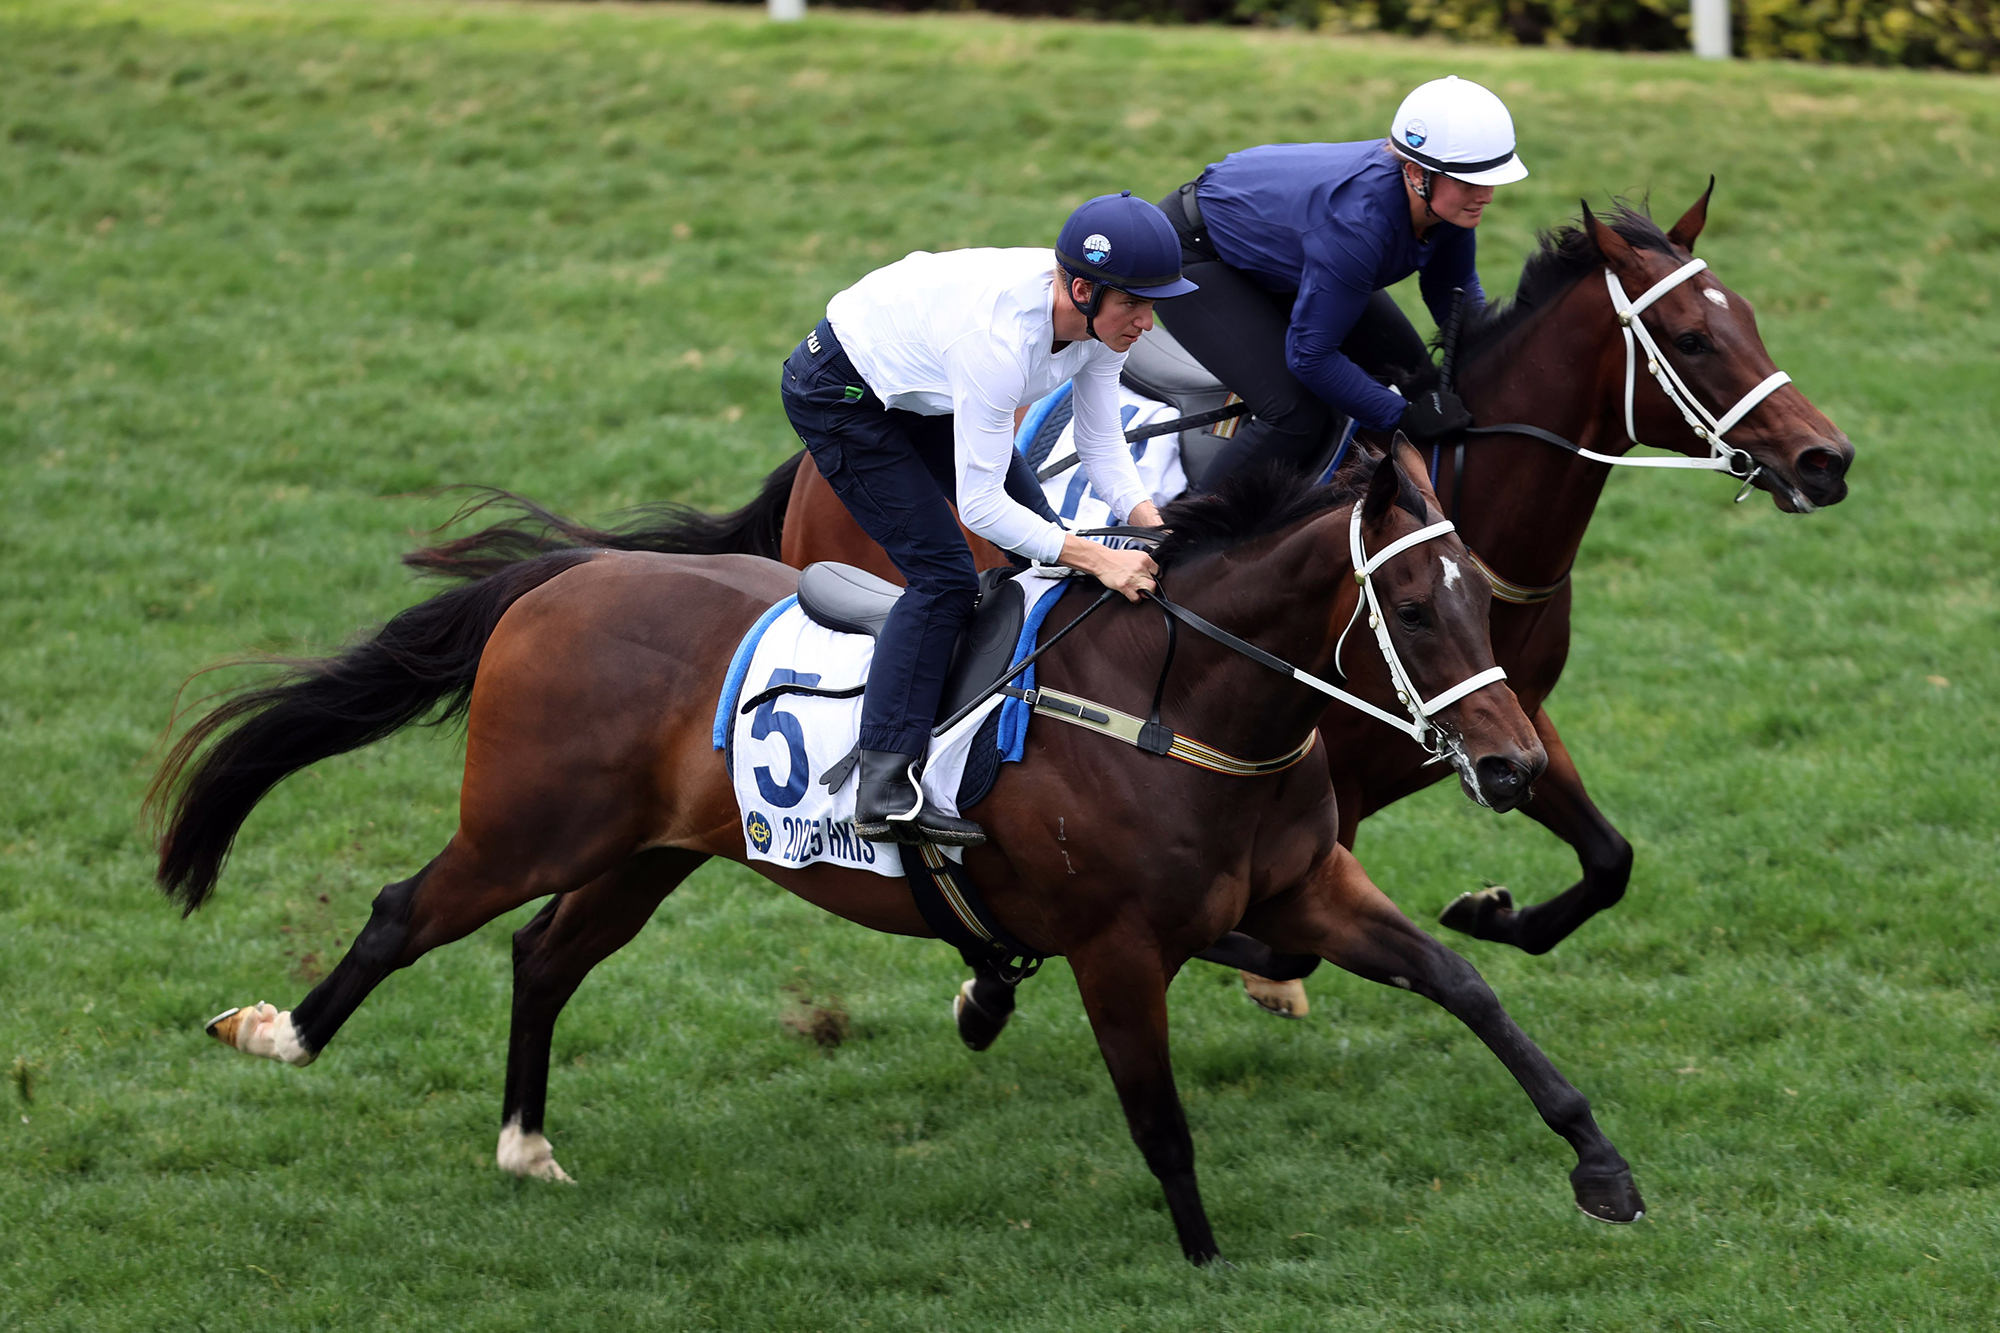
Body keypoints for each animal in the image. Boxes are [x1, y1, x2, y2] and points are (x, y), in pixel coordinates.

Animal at [152, 448, 1647, 1264]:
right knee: (404, 912)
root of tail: (562, 577)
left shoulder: (1306, 886)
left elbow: (1463, 983)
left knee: (545, 953)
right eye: (1410, 607)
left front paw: (1600, 1166)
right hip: (527, 826)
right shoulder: (1116, 948)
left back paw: (526, 1143)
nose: (1513, 767)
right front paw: (1208, 1258)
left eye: (1480, 593)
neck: (1180, 708)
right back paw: (277, 1032)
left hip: (646, 849)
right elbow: (1158, 1116)